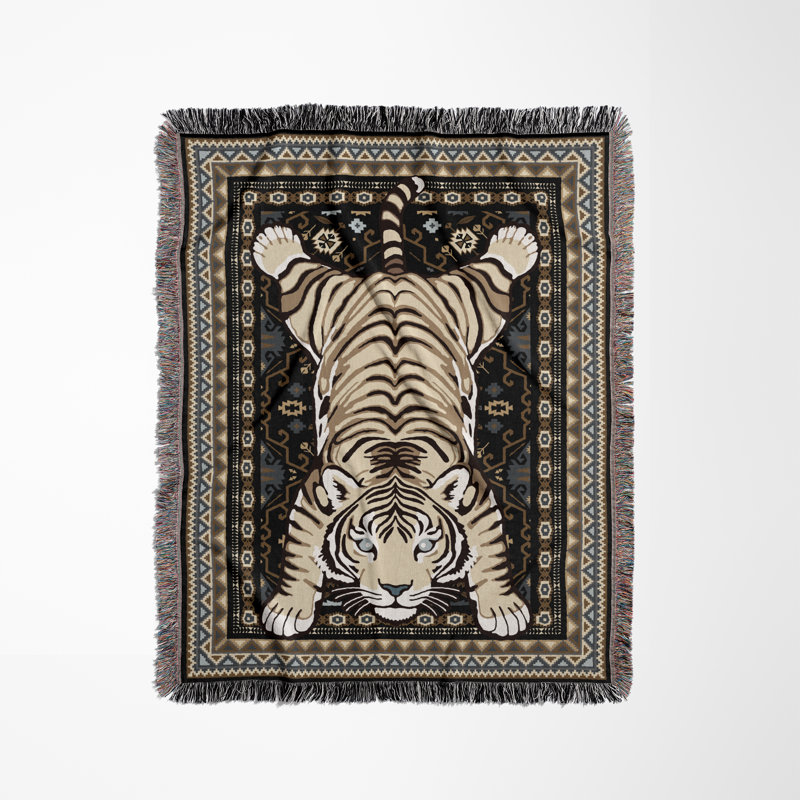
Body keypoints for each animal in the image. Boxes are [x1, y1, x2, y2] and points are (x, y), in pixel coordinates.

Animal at [252, 176, 539, 637]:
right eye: (365, 543)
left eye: (426, 543)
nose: (395, 590)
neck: (395, 461)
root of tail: (394, 276)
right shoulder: (314, 498)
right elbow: (296, 553)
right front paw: (287, 611)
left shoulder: (476, 498)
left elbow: (494, 553)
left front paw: (503, 610)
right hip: (319, 305)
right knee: (300, 272)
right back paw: (276, 243)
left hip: (471, 306)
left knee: (490, 272)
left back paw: (515, 242)